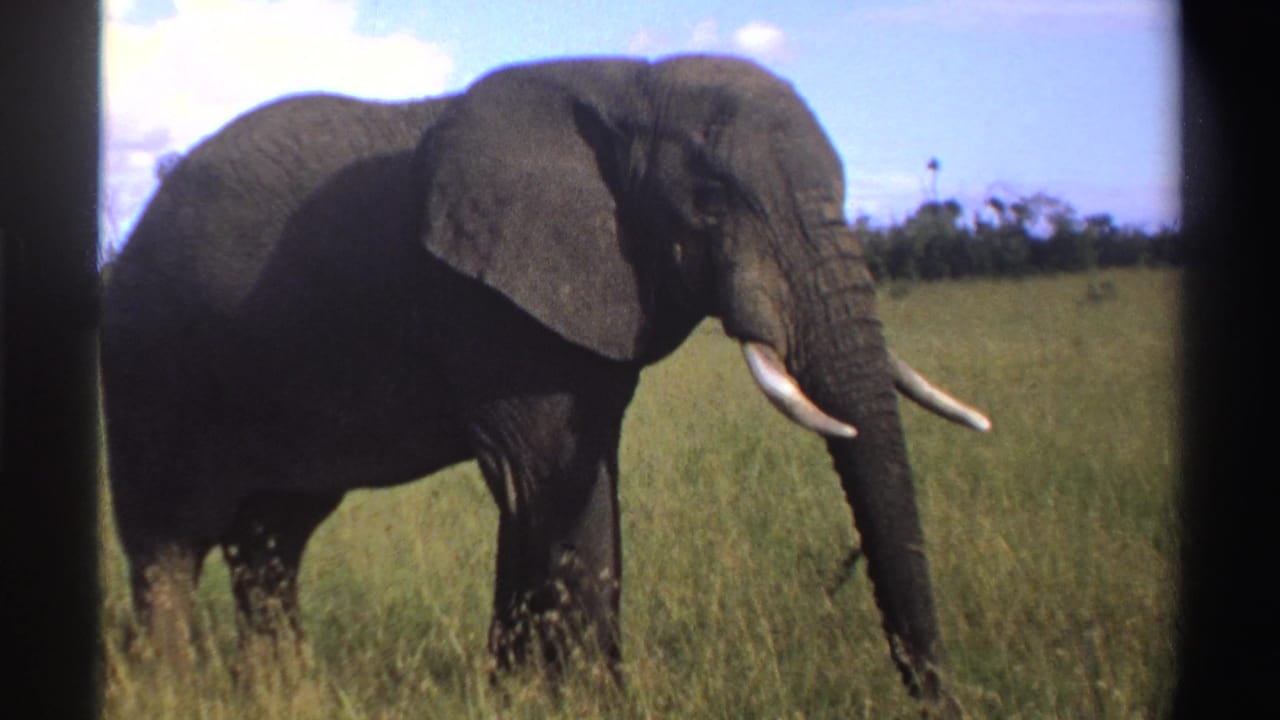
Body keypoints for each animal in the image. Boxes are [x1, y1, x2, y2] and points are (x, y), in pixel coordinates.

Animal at [100, 55, 990, 712]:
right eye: (710, 200)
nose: (938, 703)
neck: (630, 87)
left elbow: (561, 486)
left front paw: (517, 695)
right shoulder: (493, 306)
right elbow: (551, 481)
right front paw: (593, 704)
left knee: (273, 543)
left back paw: (282, 693)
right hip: (151, 366)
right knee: (169, 543)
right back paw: (174, 693)